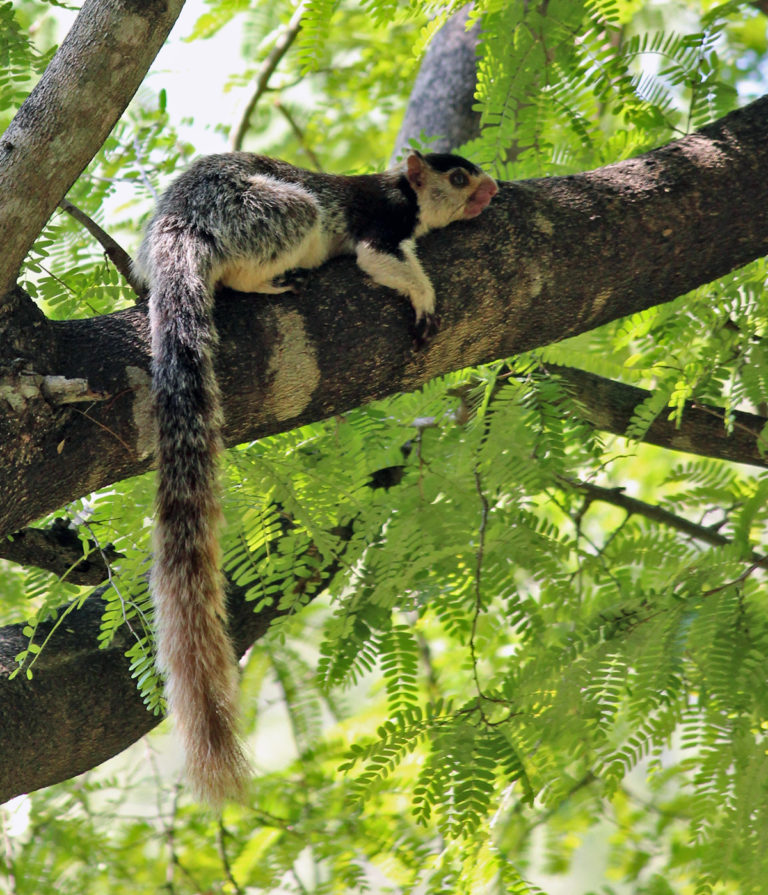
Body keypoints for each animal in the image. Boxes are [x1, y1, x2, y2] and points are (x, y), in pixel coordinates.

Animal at [134, 150, 498, 805]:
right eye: (457, 177)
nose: (492, 189)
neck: (406, 193)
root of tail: (178, 224)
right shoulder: (382, 223)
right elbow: (379, 260)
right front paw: (424, 298)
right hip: (268, 215)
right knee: (257, 255)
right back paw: (271, 281)